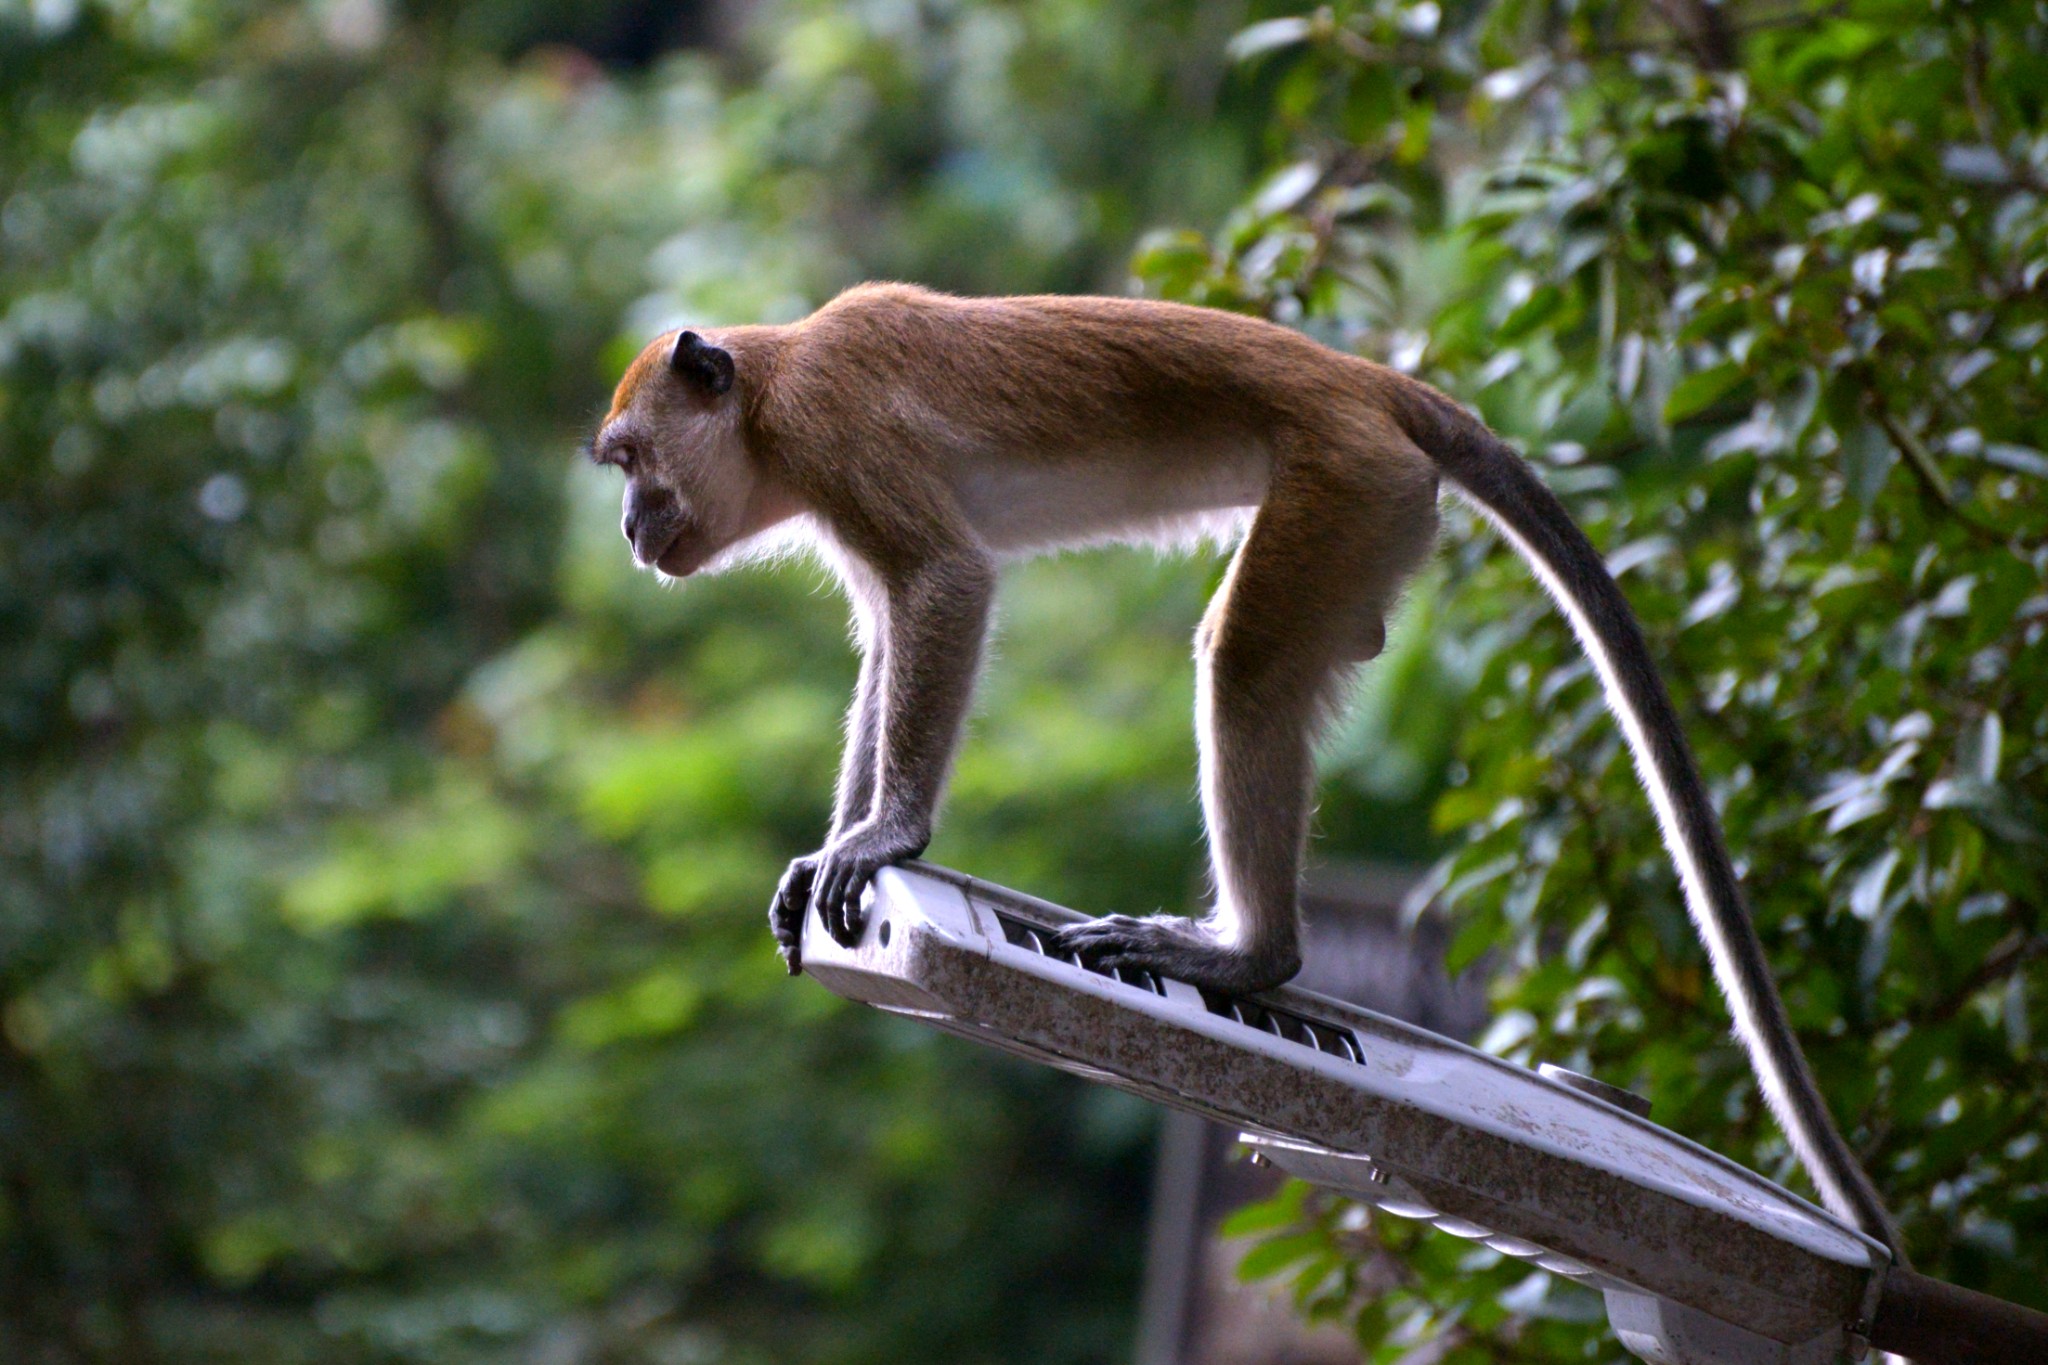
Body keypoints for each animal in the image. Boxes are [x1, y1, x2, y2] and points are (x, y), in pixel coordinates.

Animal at [589, 286, 1900, 1260]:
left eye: (630, 458)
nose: (627, 528)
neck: (774, 388)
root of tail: (1366, 381)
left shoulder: (840, 431)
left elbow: (943, 588)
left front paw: (884, 838)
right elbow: (886, 639)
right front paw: (834, 843)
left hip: (1342, 481)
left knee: (1247, 665)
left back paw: (1248, 955)